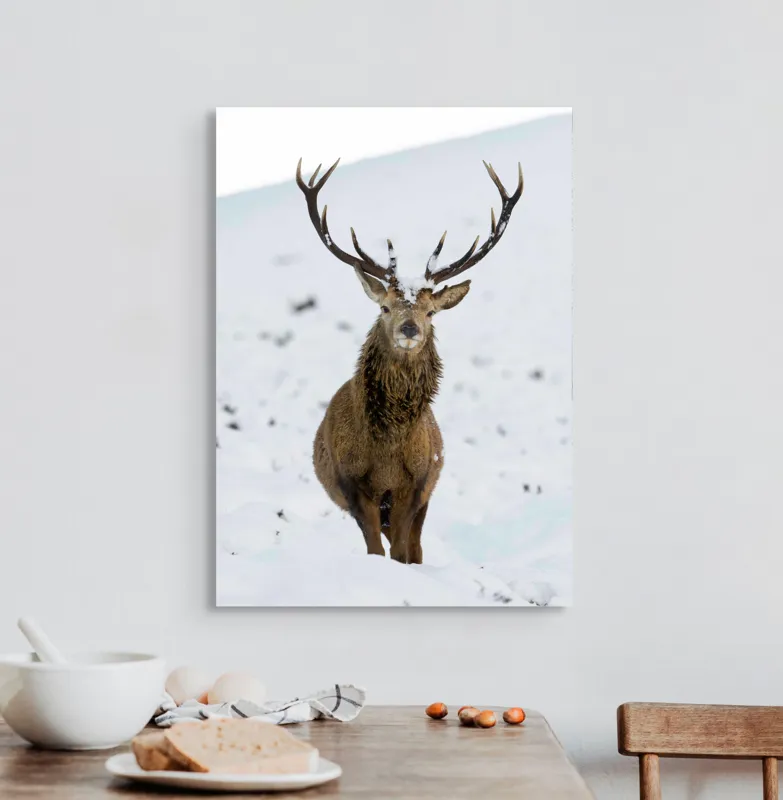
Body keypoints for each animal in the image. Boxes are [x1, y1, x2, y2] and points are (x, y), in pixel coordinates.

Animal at [295, 158, 523, 564]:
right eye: (384, 307)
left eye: (431, 312)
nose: (409, 328)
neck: (386, 451)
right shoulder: (353, 484)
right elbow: (374, 547)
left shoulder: (415, 485)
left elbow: (403, 549)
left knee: (416, 546)